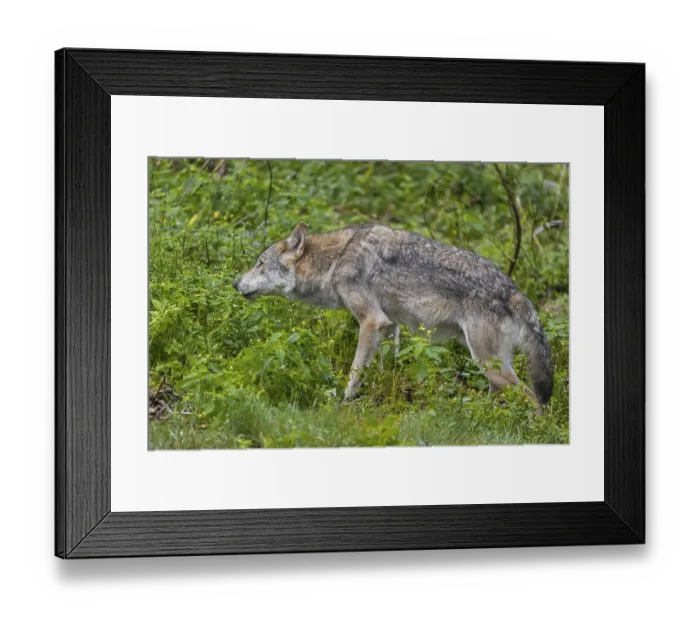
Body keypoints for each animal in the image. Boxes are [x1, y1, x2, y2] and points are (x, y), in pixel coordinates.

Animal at [233, 222, 553, 408]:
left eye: (260, 264)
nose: (235, 283)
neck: (336, 261)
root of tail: (513, 290)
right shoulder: (389, 326)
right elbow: (387, 367)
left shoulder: (371, 321)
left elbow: (355, 371)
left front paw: (345, 403)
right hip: (488, 366)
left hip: (488, 363)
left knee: (533, 398)